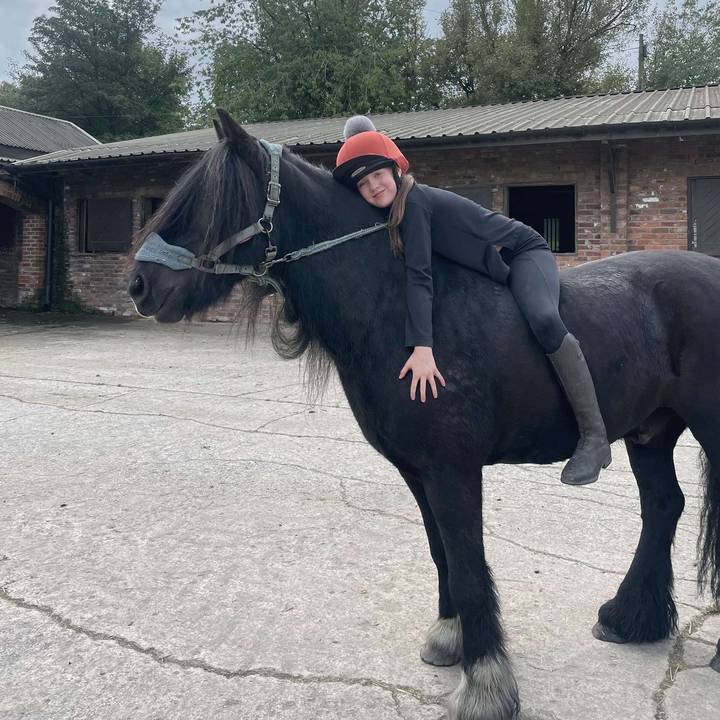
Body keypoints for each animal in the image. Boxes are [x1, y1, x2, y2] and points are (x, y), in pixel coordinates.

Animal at [127, 109, 720, 720]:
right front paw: (450, 640)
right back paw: (630, 619)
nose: (139, 286)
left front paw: (485, 685)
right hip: (651, 433)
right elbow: (442, 553)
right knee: (663, 507)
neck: (401, 313)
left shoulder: (452, 471)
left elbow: (466, 559)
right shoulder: (418, 472)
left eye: (211, 201)